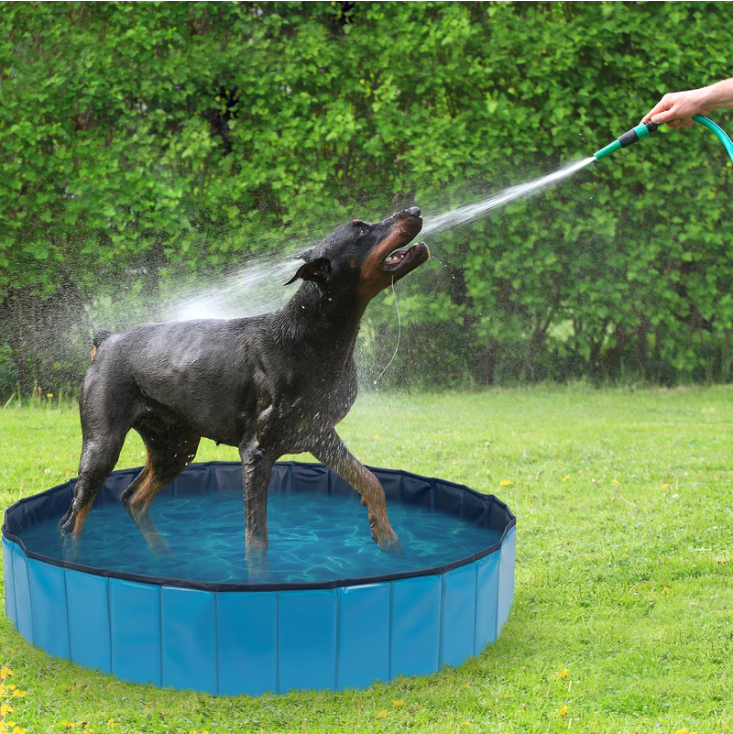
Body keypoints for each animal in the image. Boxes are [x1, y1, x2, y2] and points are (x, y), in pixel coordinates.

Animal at [63, 207, 432, 568]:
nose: (414, 209)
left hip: (176, 444)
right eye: (361, 230)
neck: (311, 335)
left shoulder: (318, 433)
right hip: (103, 443)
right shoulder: (257, 452)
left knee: (133, 497)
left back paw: (165, 557)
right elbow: (256, 540)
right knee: (73, 518)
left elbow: (370, 480)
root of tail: (106, 339)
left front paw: (385, 534)